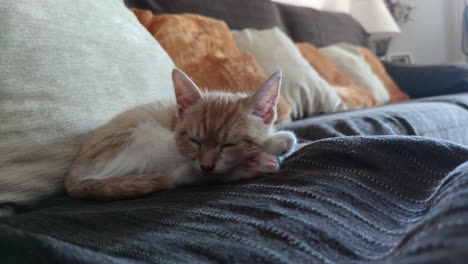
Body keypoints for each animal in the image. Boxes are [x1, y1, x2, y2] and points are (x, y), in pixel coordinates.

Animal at [66, 69, 296, 199]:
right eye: (194, 140)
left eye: (229, 144)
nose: (206, 165)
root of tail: (73, 175)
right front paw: (276, 141)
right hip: (147, 137)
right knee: (180, 176)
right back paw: (254, 166)